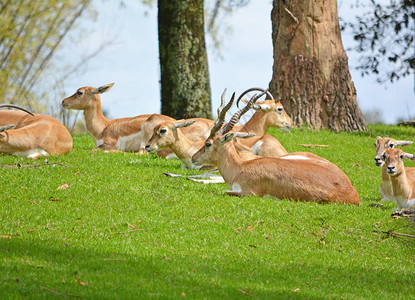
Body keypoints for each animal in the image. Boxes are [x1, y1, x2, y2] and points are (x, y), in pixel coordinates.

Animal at [63, 83, 216, 154]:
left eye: (79, 92)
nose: (63, 101)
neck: (104, 127)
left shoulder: (110, 143)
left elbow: (94, 149)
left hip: (146, 132)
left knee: (141, 152)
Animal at [191, 95, 358, 205]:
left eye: (208, 144)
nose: (193, 158)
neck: (240, 168)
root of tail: (352, 193)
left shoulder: (249, 193)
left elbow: (224, 191)